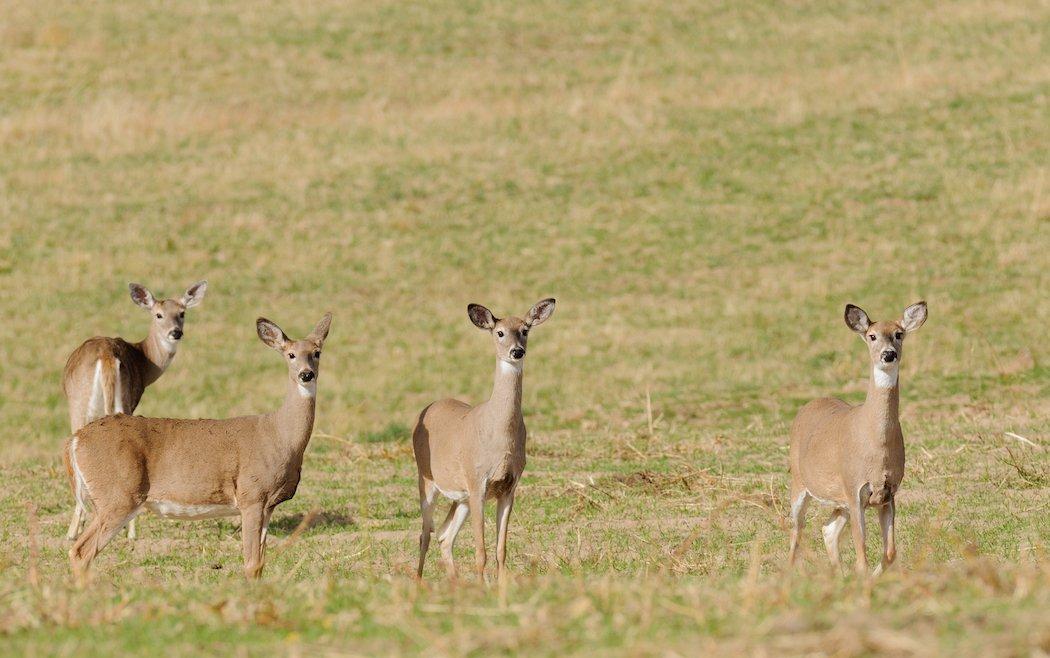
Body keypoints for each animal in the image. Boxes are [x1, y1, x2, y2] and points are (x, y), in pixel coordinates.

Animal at [63, 277, 208, 541]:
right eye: (159, 314)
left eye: (182, 313)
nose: (176, 332)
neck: (144, 361)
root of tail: (107, 355)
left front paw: (73, 530)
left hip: (81, 403)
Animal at [66, 310, 327, 583]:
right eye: (291, 354)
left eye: (317, 352)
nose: (306, 374)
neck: (280, 436)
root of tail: (76, 440)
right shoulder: (251, 495)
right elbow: (250, 563)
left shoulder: (269, 505)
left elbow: (260, 565)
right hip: (118, 495)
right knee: (81, 550)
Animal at [411, 298, 558, 583]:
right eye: (499, 332)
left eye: (525, 330)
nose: (517, 352)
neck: (498, 436)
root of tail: (429, 407)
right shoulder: (477, 480)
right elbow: (481, 551)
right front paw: (482, 586)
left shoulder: (508, 487)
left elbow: (501, 549)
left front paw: (501, 585)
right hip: (427, 479)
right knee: (425, 534)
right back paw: (419, 581)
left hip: (461, 497)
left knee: (444, 536)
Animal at [789, 302, 928, 575]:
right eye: (872, 336)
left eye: (899, 334)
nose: (888, 355)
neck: (876, 445)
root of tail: (809, 405)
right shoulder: (854, 487)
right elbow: (862, 553)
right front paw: (863, 577)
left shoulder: (888, 493)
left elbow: (890, 553)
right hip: (799, 483)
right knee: (796, 531)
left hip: (839, 500)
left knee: (827, 529)